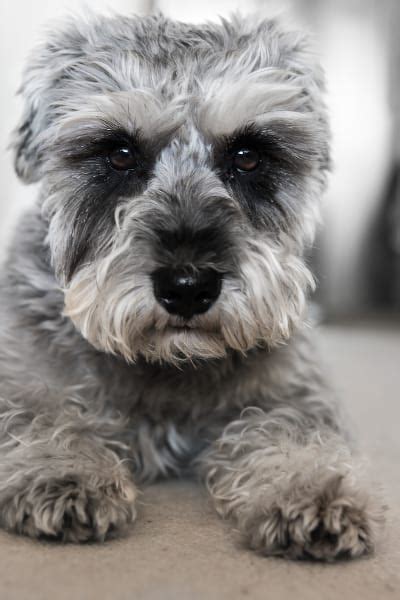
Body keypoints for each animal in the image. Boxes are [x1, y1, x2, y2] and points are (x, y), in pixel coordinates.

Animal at [0, 11, 382, 560]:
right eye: (119, 154)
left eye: (249, 156)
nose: (186, 287)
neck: (170, 363)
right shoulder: (27, 376)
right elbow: (42, 413)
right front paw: (63, 472)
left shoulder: (291, 389)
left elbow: (292, 428)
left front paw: (310, 488)